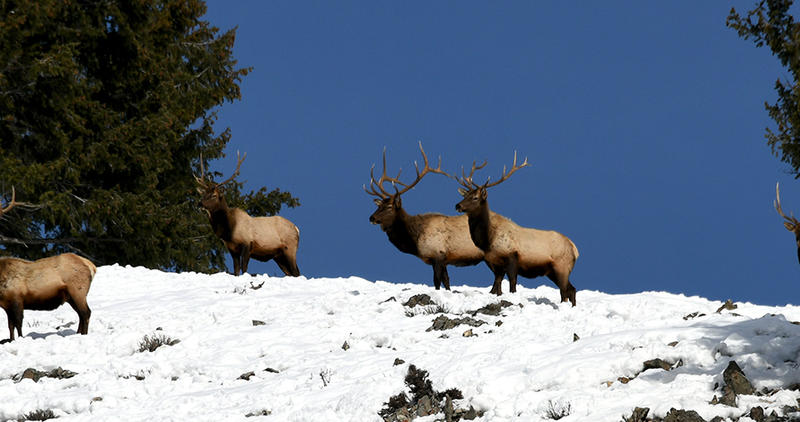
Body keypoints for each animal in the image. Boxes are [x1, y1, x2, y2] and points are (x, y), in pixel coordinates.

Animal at [0, 190, 97, 342]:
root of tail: (91, 266)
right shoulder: (6, 304)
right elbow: (11, 327)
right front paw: (12, 340)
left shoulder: (17, 299)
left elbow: (19, 325)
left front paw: (21, 339)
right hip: (71, 296)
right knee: (81, 314)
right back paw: (78, 333)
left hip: (78, 290)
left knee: (86, 313)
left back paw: (84, 335)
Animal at [366, 144, 484, 290]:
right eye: (379, 205)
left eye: (389, 207)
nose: (371, 218)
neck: (415, 240)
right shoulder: (442, 259)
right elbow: (446, 281)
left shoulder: (438, 254)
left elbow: (437, 281)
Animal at [454, 153, 580, 304]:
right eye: (465, 195)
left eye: (475, 197)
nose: (458, 205)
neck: (487, 240)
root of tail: (575, 249)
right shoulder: (495, 263)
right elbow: (497, 285)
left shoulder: (512, 257)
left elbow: (512, 284)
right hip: (553, 271)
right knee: (570, 290)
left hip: (562, 267)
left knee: (566, 291)